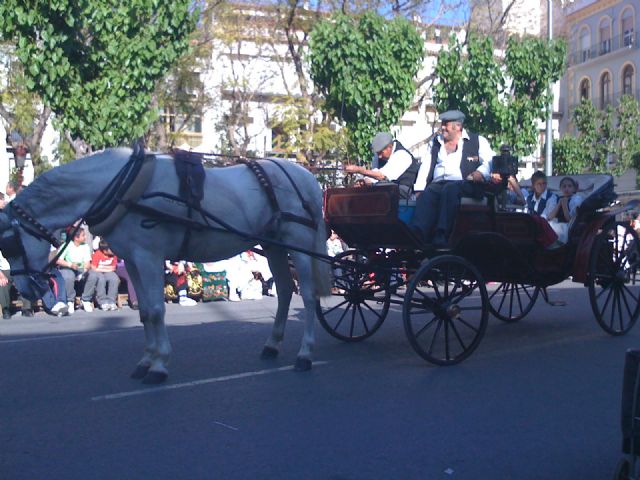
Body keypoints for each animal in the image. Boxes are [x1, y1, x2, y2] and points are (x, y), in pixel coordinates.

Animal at [0, 148, 330, 384]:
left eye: (9, 245)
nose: (25, 287)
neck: (121, 188)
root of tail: (306, 177)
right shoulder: (133, 260)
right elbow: (146, 311)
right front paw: (146, 360)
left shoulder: (148, 256)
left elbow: (157, 311)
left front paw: (159, 365)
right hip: (275, 246)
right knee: (285, 291)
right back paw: (272, 344)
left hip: (299, 245)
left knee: (307, 295)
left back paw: (305, 353)